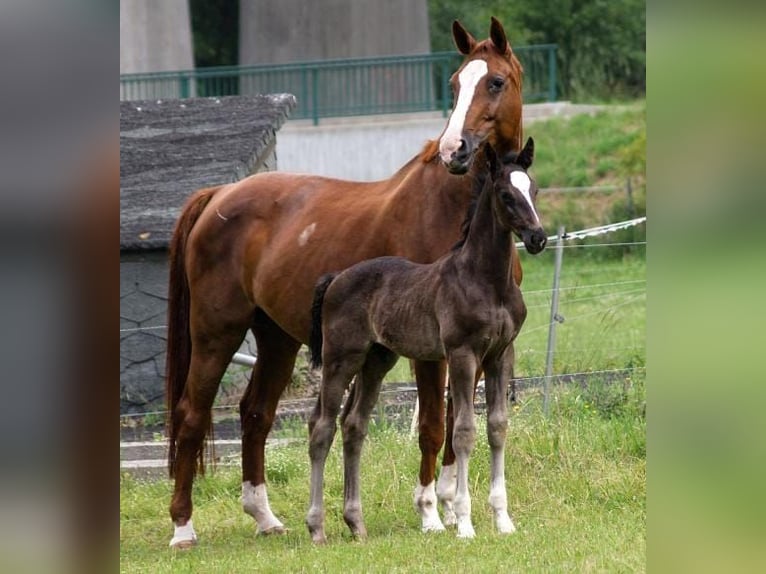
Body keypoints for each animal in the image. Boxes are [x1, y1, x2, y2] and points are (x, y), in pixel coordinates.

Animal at [306, 139, 545, 542]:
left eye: (535, 190)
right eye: (505, 194)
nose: (538, 238)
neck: (487, 281)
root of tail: (336, 277)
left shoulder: (500, 355)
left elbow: (497, 427)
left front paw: (503, 520)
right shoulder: (462, 354)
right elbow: (462, 431)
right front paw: (464, 523)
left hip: (376, 361)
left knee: (354, 426)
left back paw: (356, 523)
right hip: (341, 358)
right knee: (321, 428)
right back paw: (317, 528)